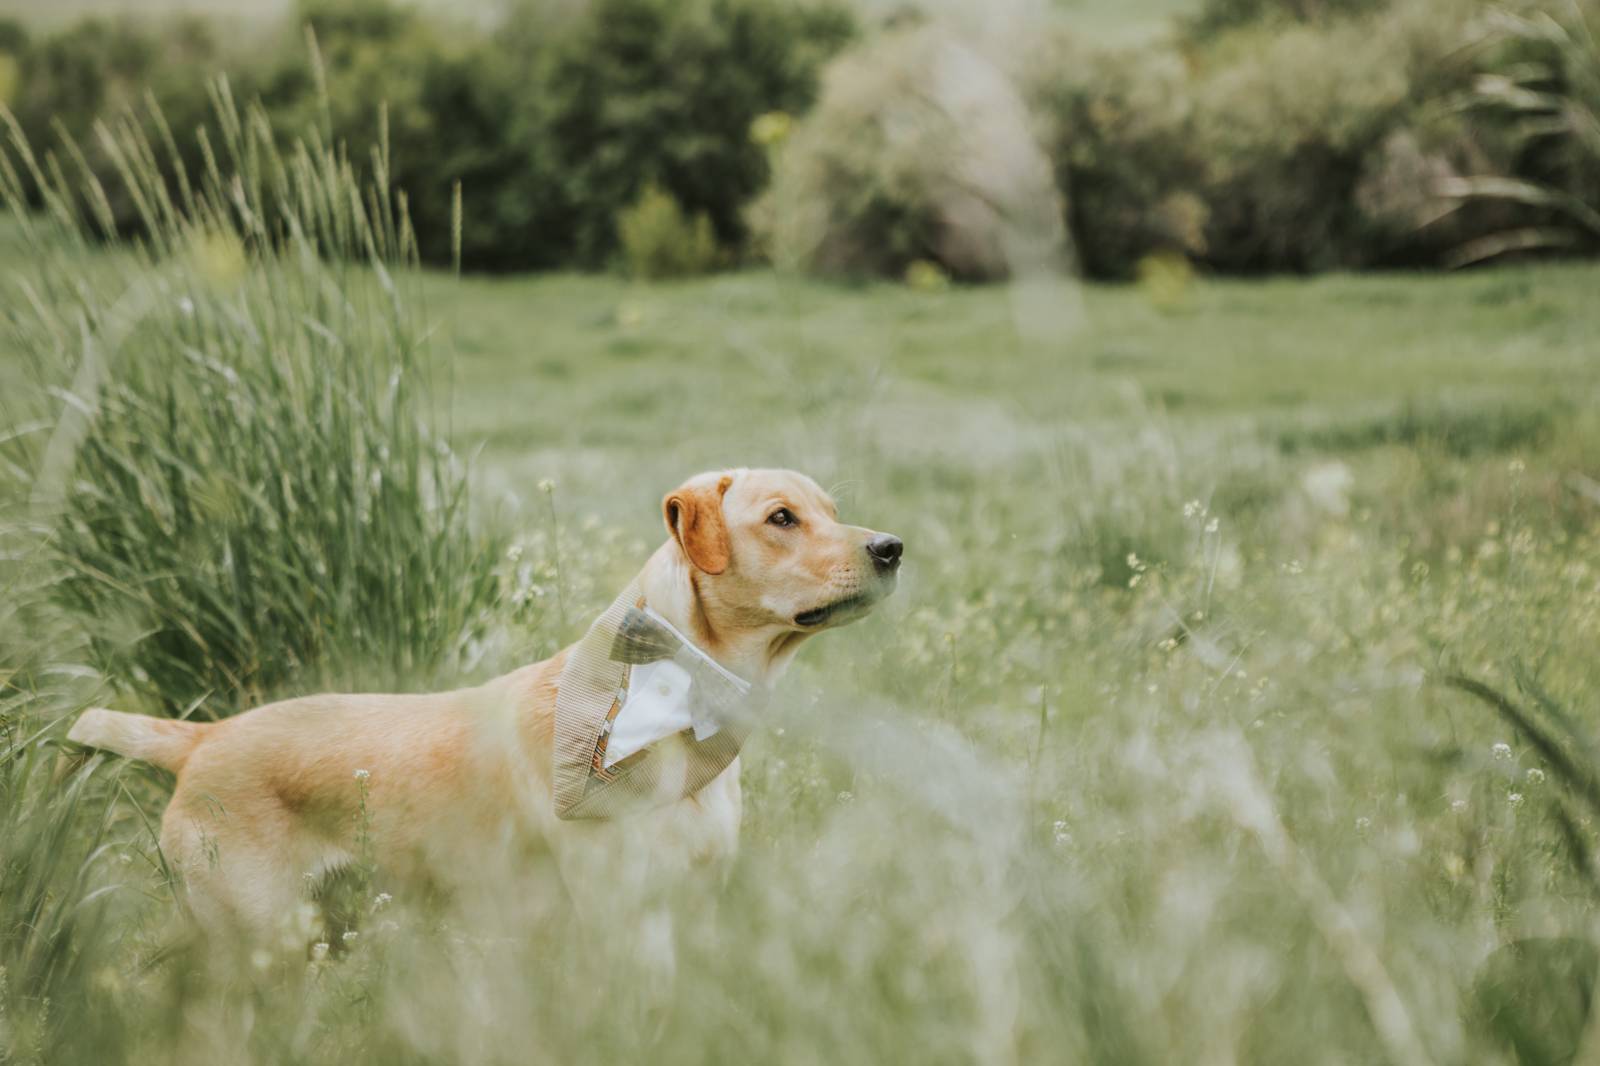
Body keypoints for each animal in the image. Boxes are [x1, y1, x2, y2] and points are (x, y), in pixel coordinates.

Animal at [65, 464, 902, 941]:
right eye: (781, 518)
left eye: (831, 509)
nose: (892, 548)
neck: (677, 692)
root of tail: (204, 737)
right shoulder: (623, 920)